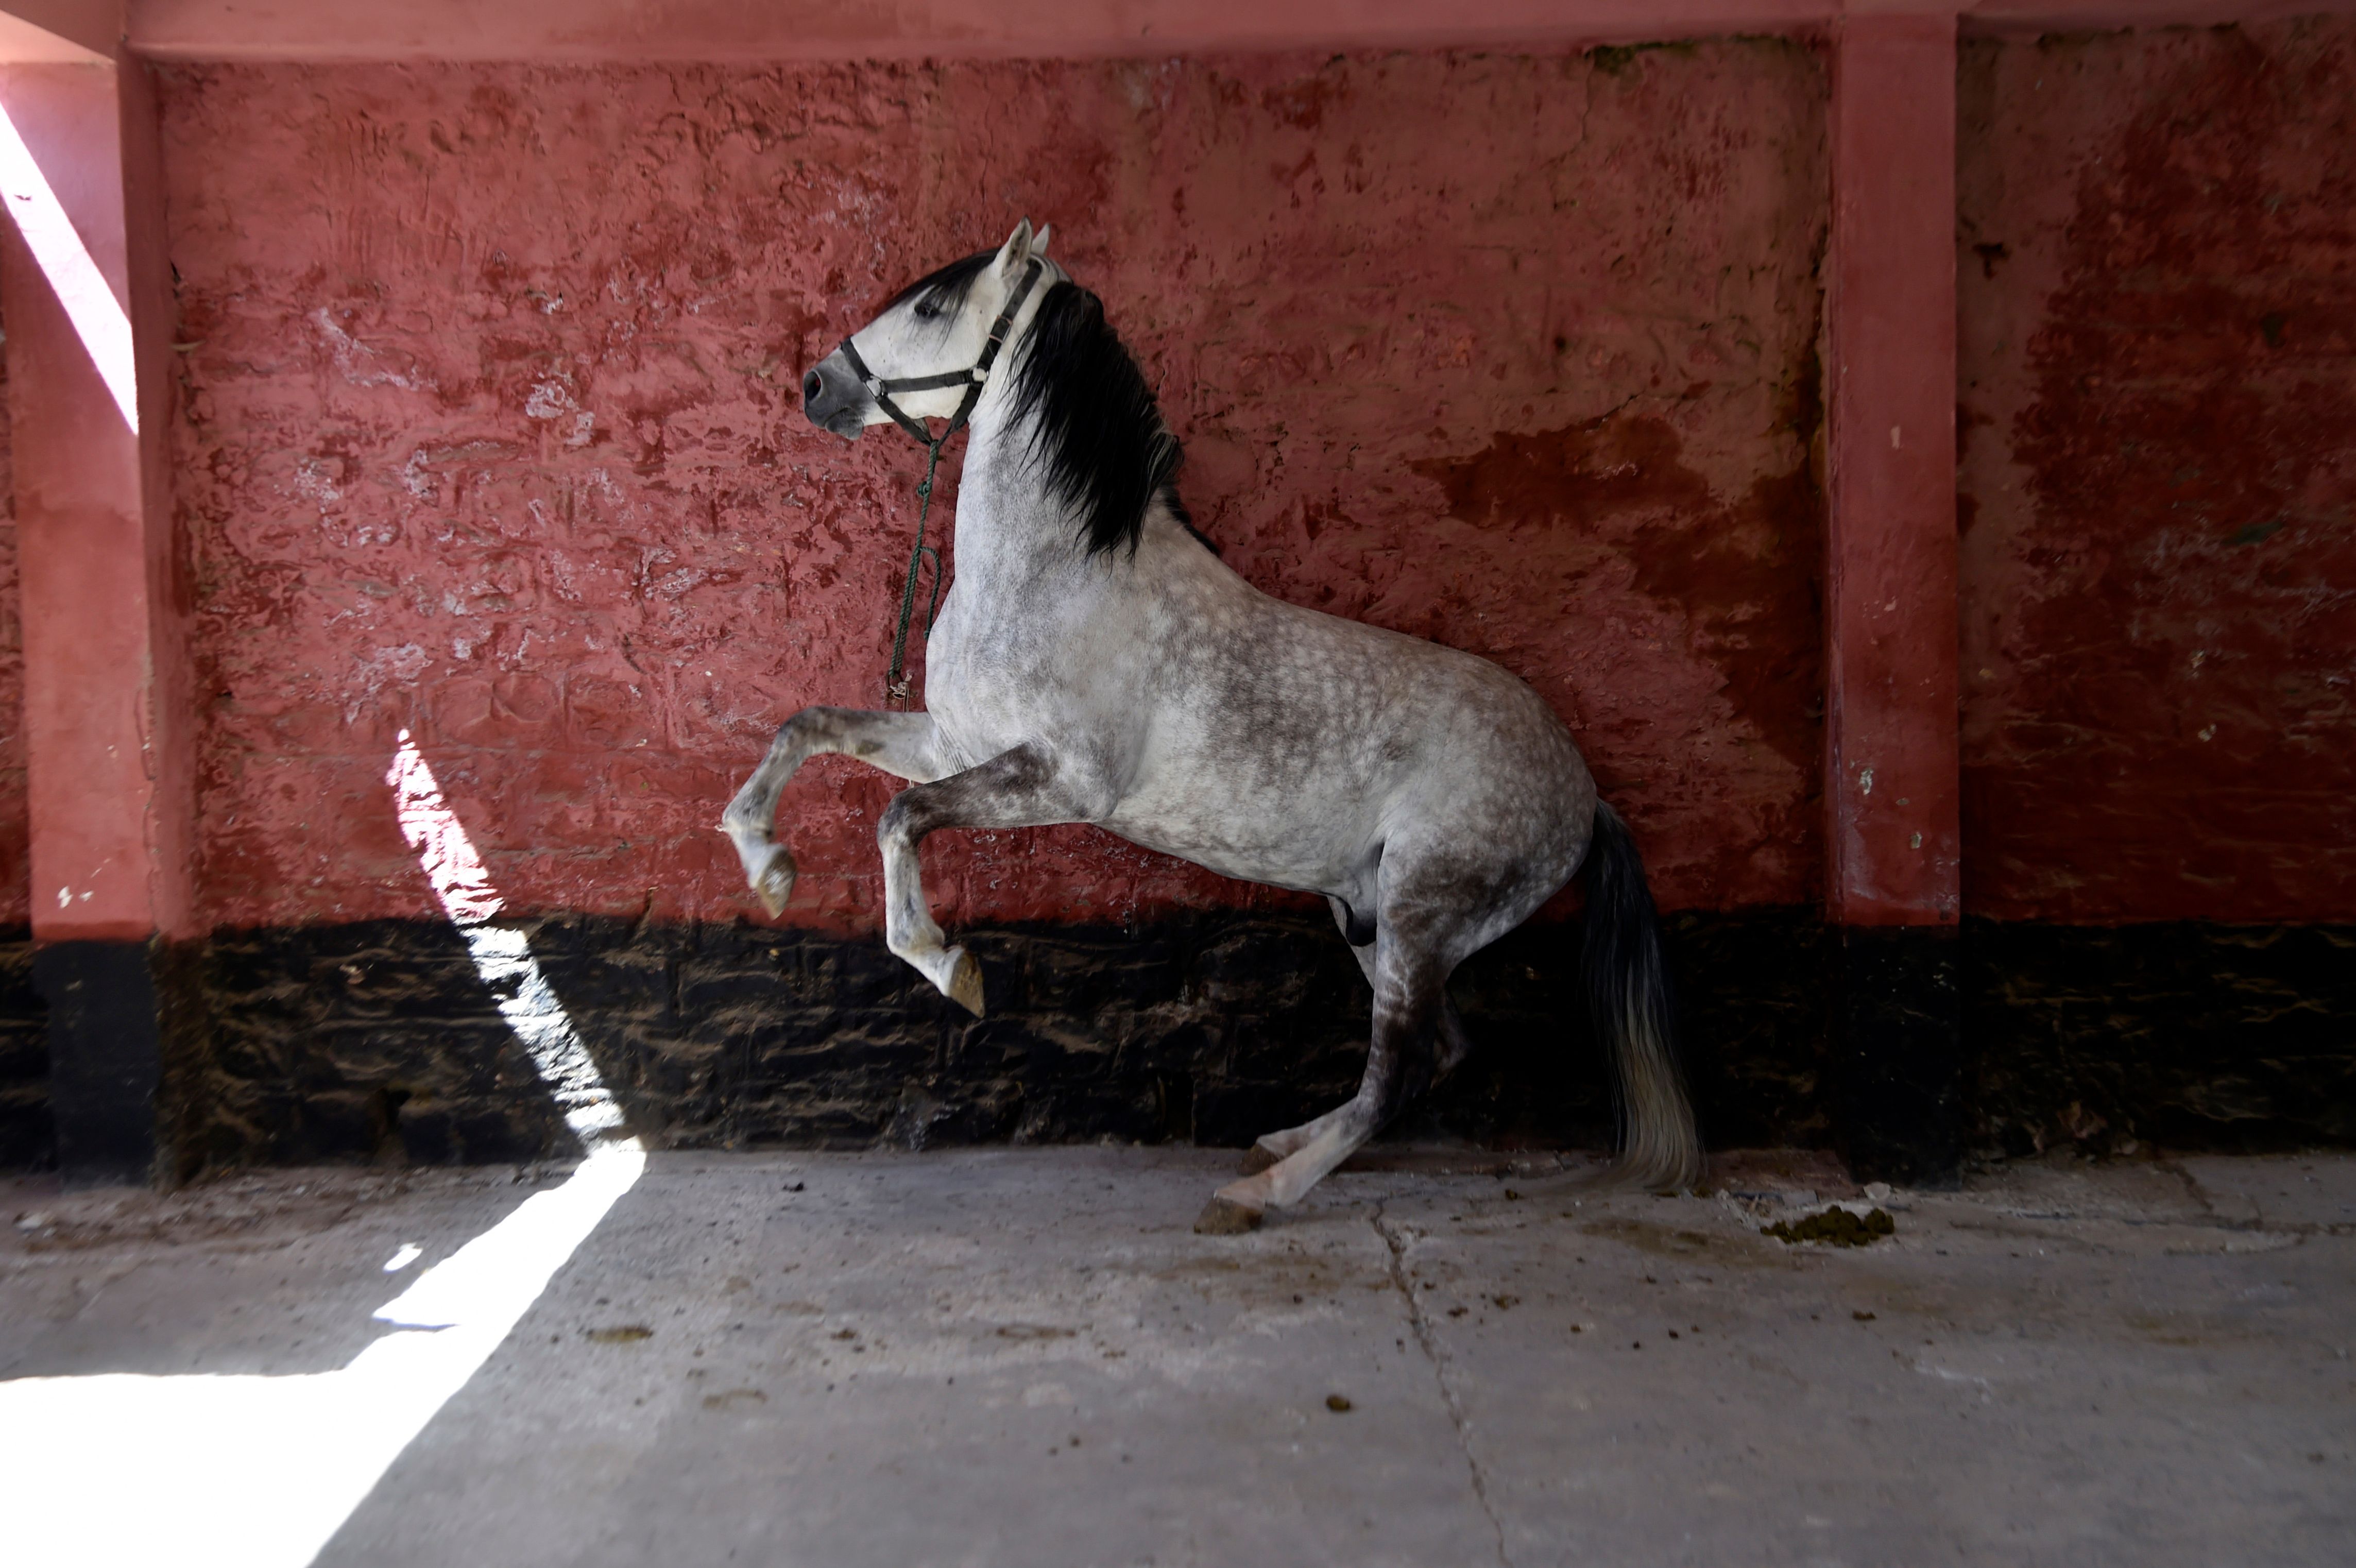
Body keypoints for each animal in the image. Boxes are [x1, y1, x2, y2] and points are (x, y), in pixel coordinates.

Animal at [725, 220, 1705, 1224]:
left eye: (928, 306)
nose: (815, 386)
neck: (1052, 579)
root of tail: (1582, 797)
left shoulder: (1060, 780)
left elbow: (899, 820)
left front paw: (944, 963)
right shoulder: (951, 745)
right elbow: (805, 728)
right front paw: (766, 866)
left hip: (1419, 913)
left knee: (1401, 1069)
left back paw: (1257, 1192)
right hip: (1372, 918)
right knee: (1437, 1053)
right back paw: (1280, 1141)